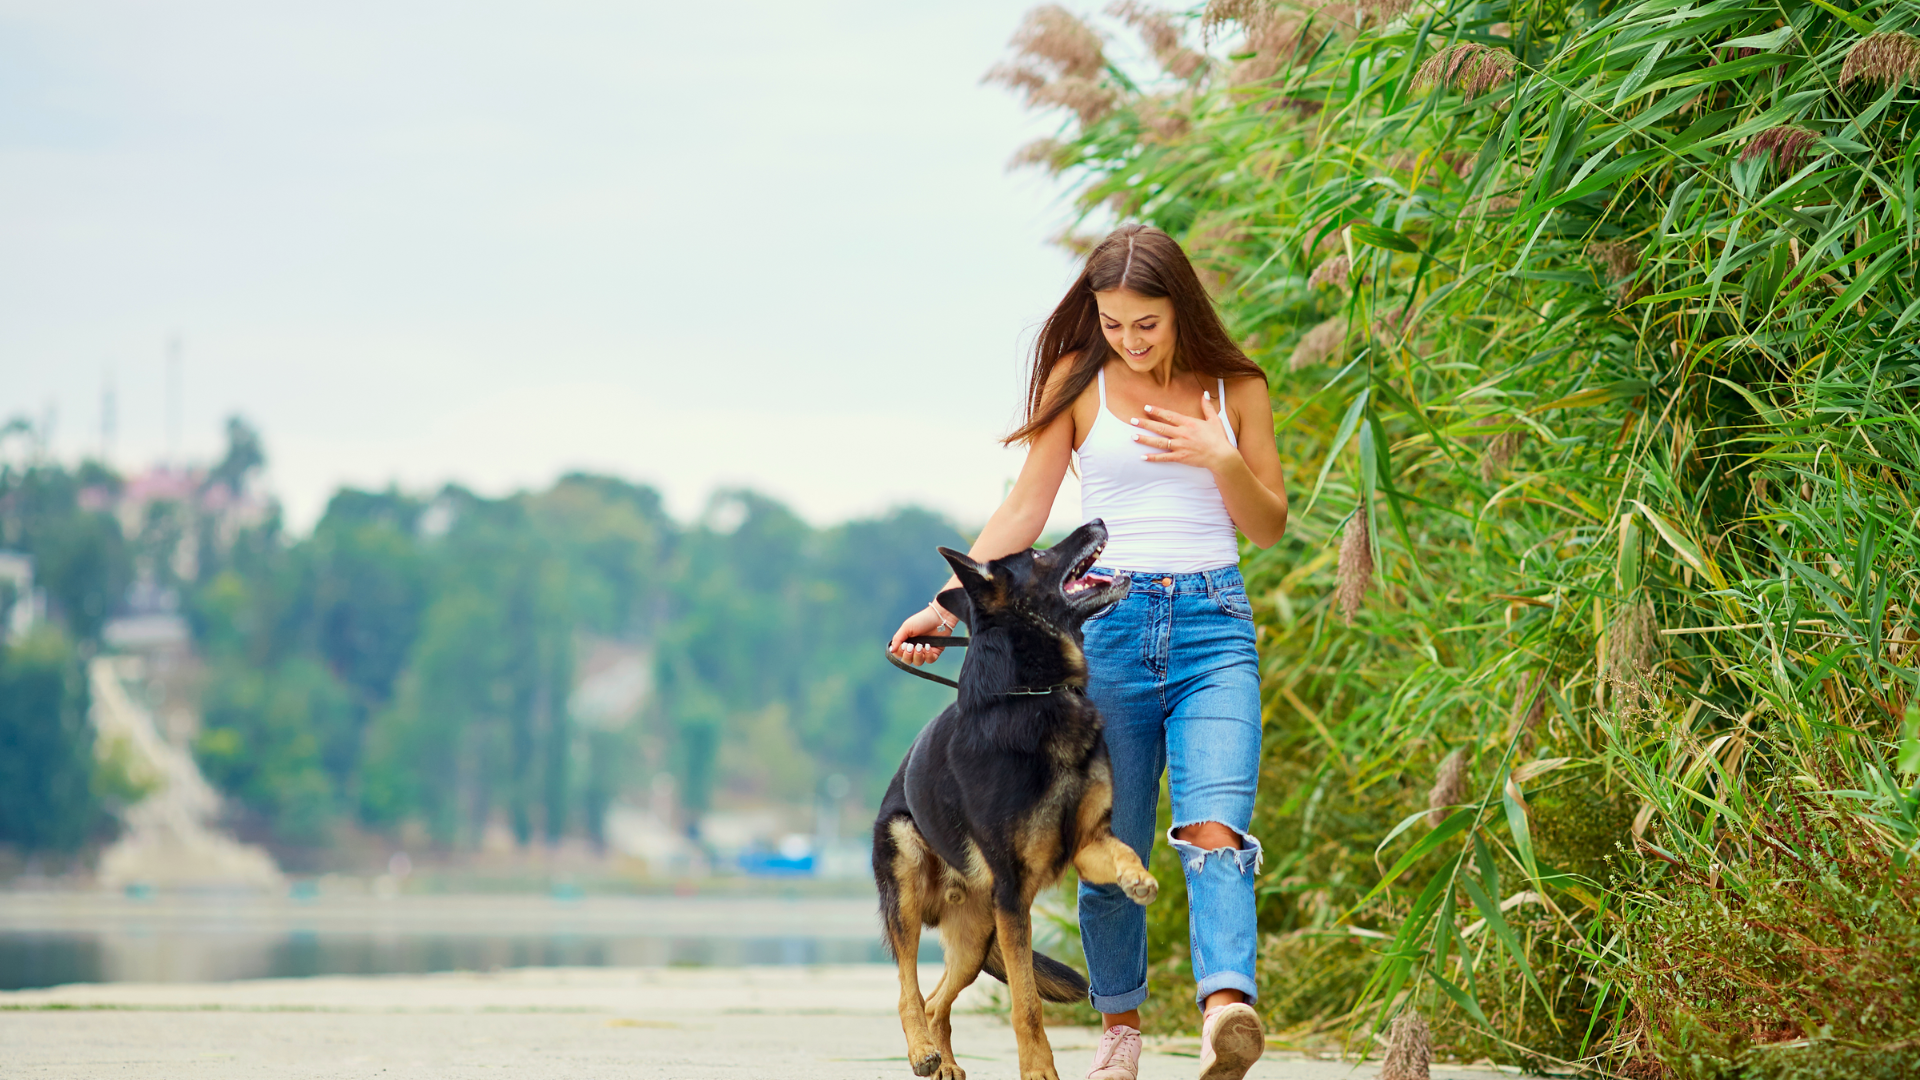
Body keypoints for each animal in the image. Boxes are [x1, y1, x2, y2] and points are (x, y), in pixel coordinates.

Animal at [871, 518, 1152, 1076]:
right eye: (1039, 554)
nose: (1098, 522)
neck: (1036, 695)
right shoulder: (1015, 896)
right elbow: (1026, 1002)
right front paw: (1039, 1069)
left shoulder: (1088, 845)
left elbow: (1124, 851)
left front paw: (1139, 880)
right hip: (912, 883)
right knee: (908, 988)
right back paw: (921, 1051)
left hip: (978, 937)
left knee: (937, 999)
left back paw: (946, 1060)